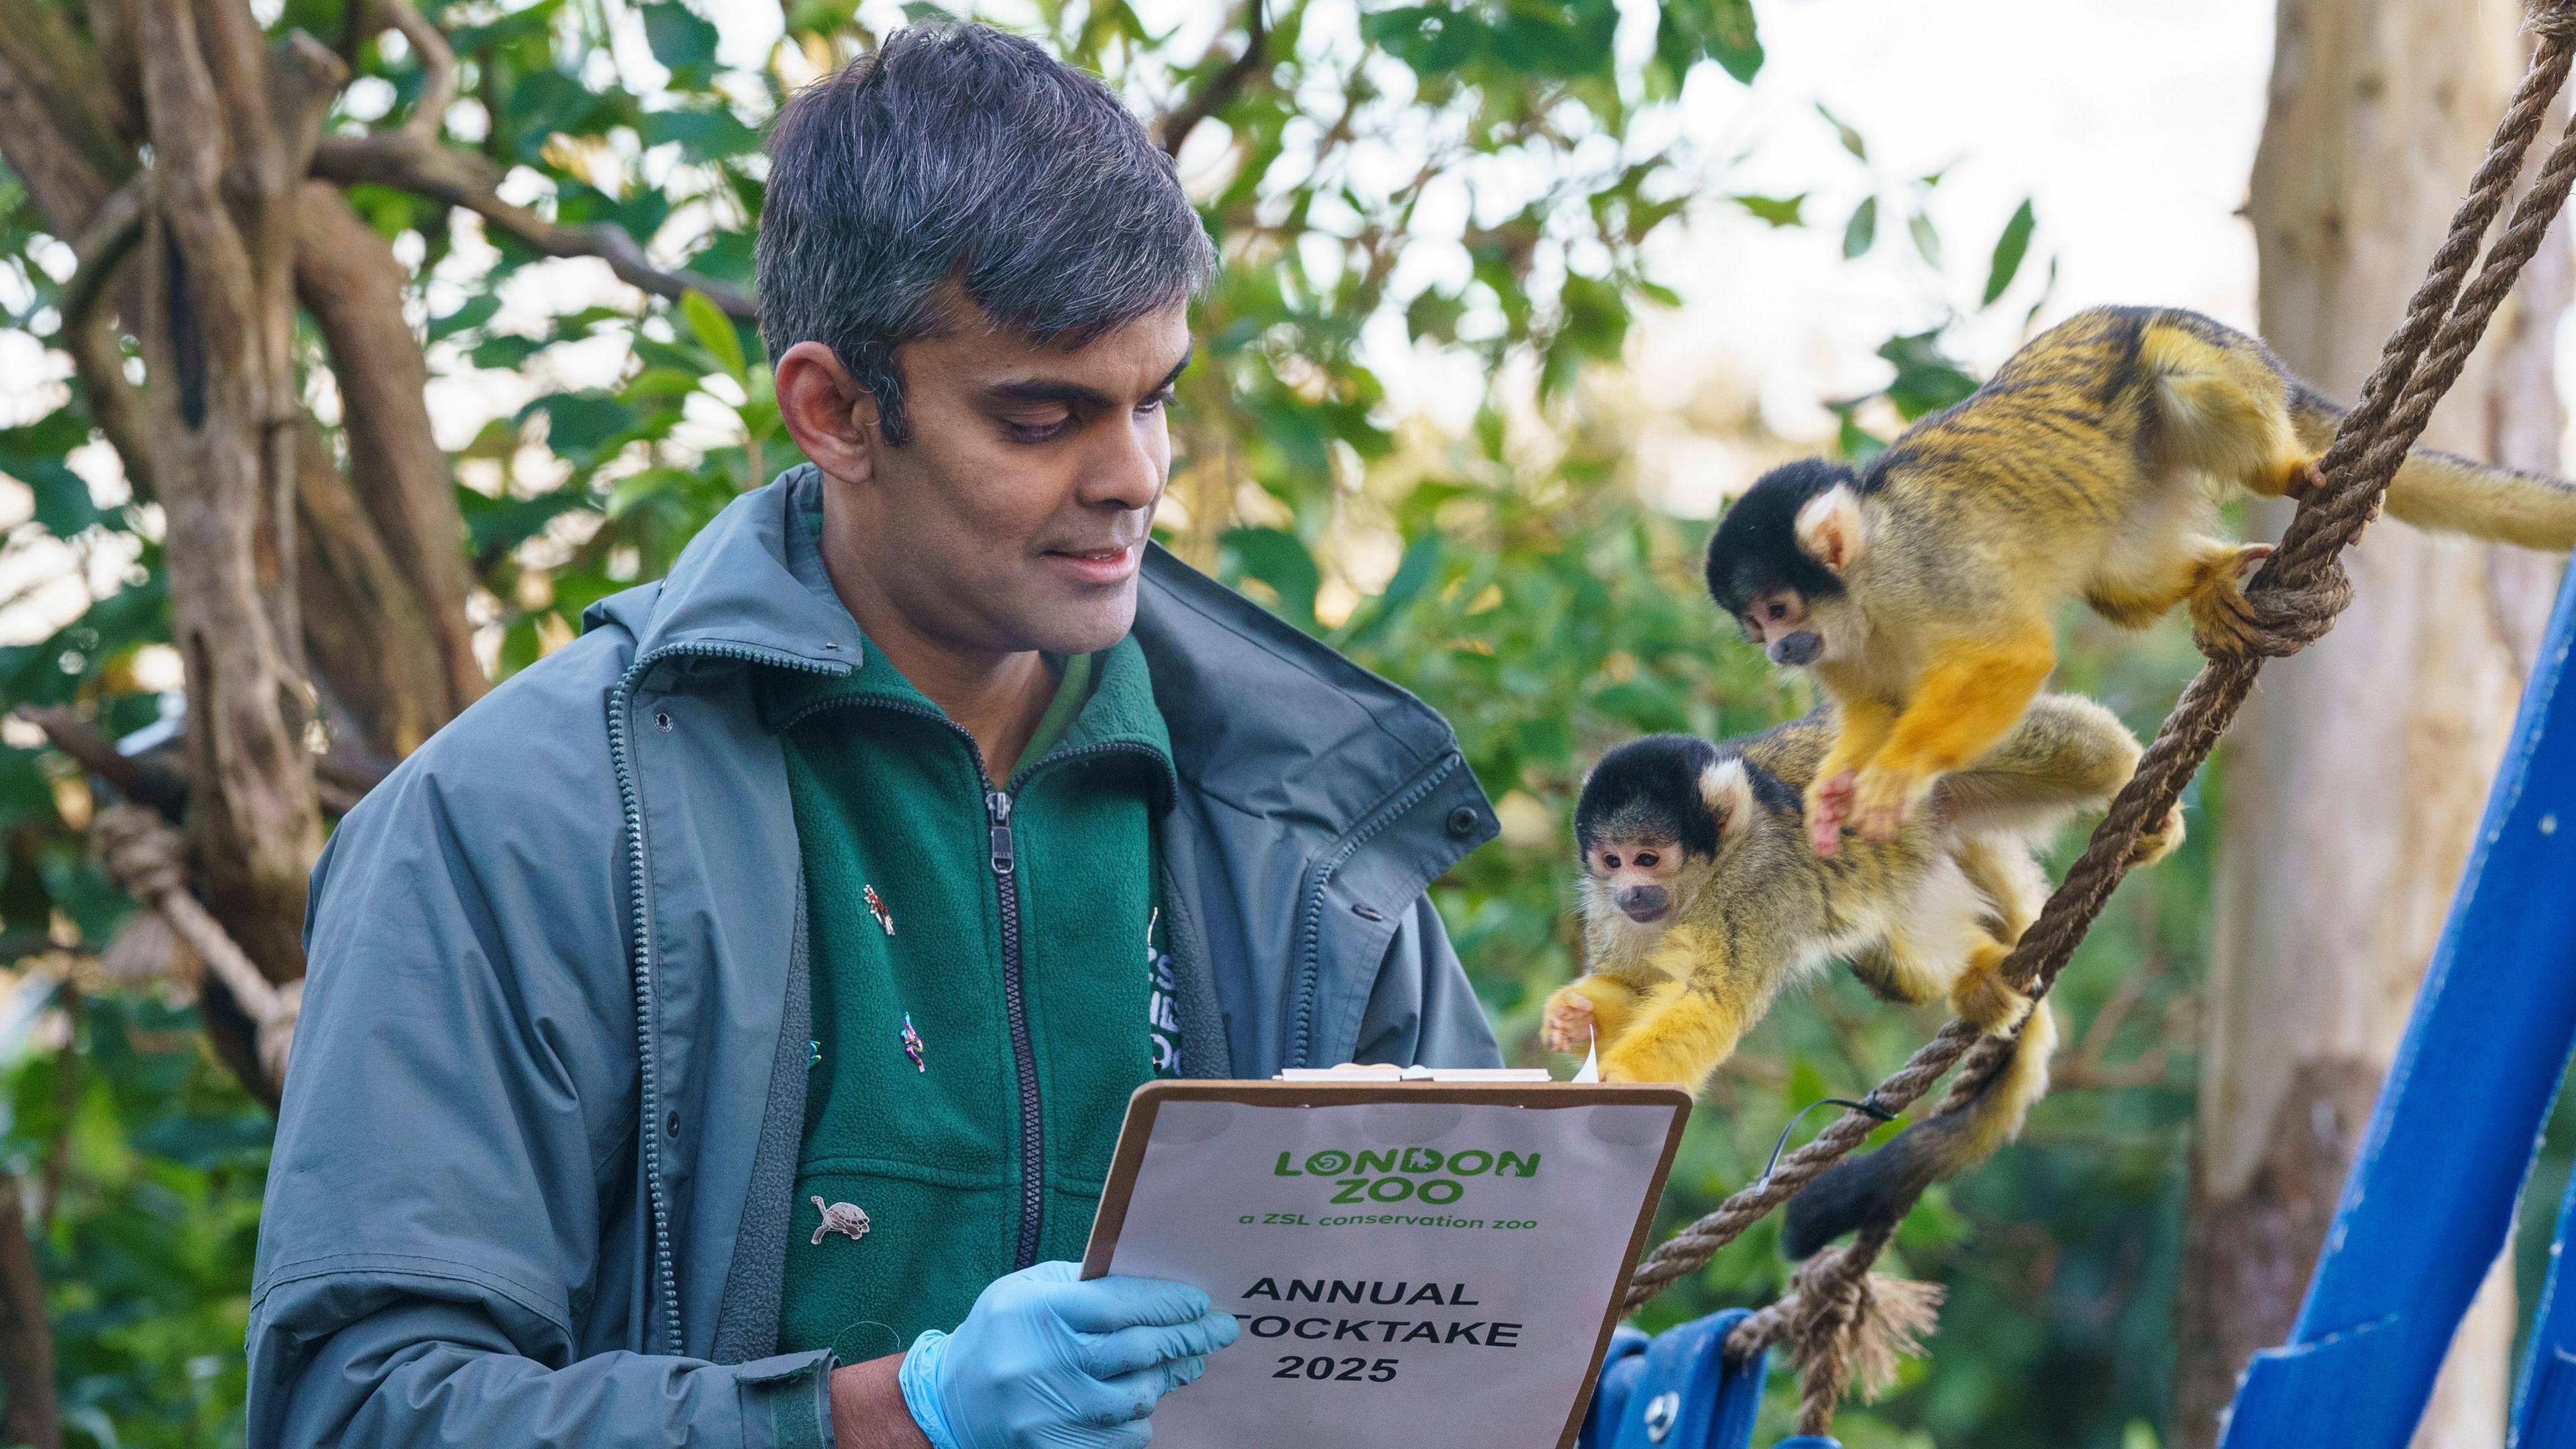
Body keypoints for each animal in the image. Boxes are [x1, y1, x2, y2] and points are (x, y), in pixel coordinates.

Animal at [1535, 696, 2184, 1248]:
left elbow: (1712, 997)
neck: (1700, 883)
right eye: (1612, 862)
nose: (1631, 891)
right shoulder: (1608, 912)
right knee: (1887, 948)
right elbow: (1636, 986)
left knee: (2066, 744)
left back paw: (2141, 796)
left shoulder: (1754, 884)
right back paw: (1976, 975)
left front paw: (1619, 1083)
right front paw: (1574, 1017)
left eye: (1648, 859)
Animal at [1710, 303, 2576, 845]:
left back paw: (2290, 472)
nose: (1778, 650)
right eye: (1754, 624)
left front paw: (1899, 773)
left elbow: (2010, 656)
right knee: (2117, 583)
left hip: (2214, 366)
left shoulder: (1929, 569)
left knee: (2176, 372)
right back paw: (2209, 575)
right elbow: (1873, 711)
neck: (1864, 597)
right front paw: (1834, 792)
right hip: (2131, 495)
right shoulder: (1849, 651)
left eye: (1781, 610)